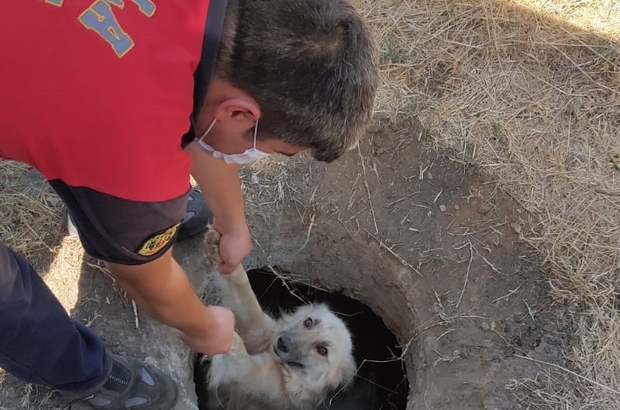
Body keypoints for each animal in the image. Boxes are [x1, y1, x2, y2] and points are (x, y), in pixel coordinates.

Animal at [201, 229, 356, 408]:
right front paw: (224, 248)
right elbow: (247, 298)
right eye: (308, 322)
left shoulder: (260, 383)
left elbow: (246, 365)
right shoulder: (258, 331)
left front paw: (228, 337)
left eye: (322, 350)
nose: (282, 342)